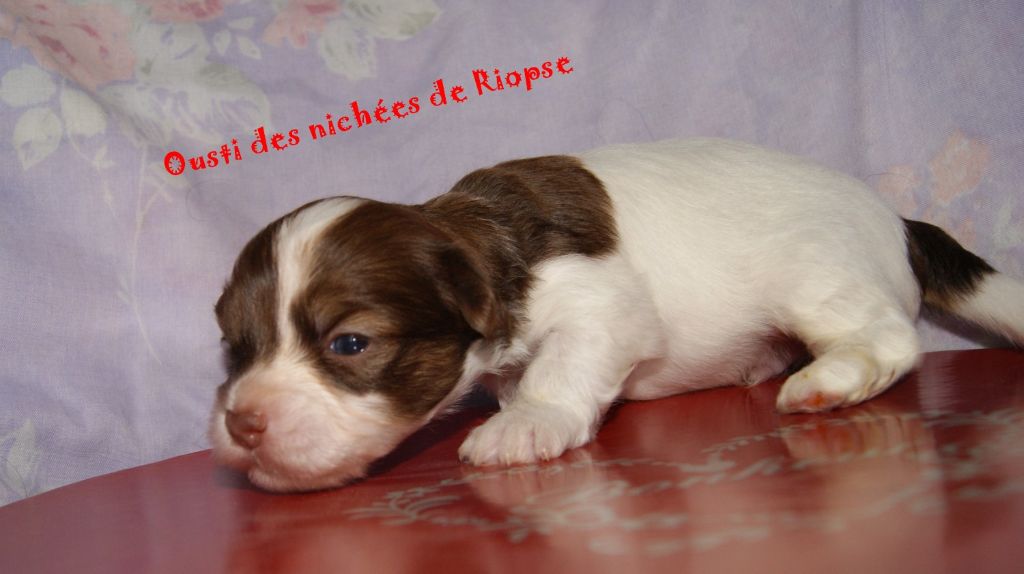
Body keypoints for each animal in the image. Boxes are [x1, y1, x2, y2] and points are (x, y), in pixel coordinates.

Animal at [209, 138, 1024, 492]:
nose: (243, 423)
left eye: (349, 343)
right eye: (235, 349)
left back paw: (827, 382)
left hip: (818, 274)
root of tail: (899, 221)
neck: (481, 235)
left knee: (891, 338)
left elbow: (560, 369)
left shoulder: (600, 304)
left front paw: (525, 424)